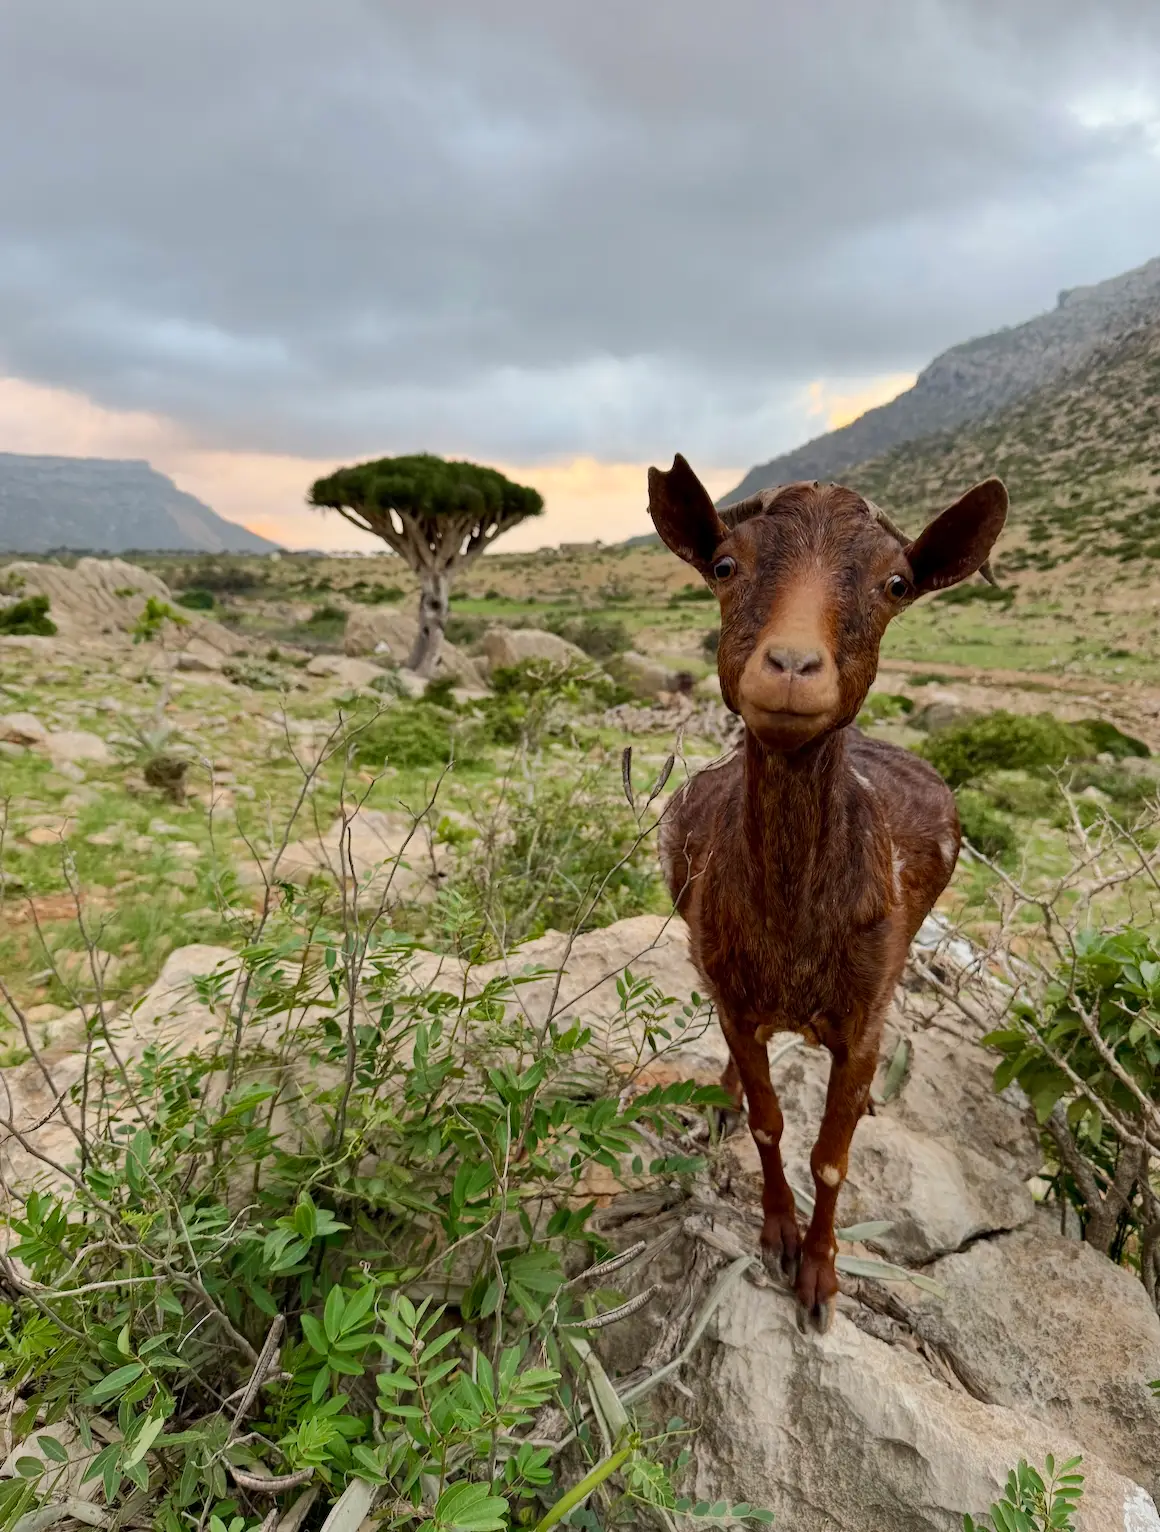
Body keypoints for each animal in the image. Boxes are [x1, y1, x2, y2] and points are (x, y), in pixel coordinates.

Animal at [649, 454, 1007, 1331]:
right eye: (724, 565)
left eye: (896, 583)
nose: (791, 667)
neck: (794, 920)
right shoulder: (737, 1000)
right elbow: (770, 1124)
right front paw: (778, 1236)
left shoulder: (863, 1018)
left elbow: (833, 1158)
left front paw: (821, 1275)